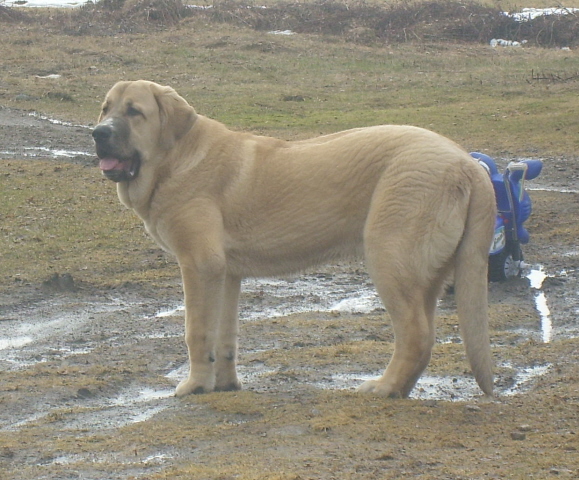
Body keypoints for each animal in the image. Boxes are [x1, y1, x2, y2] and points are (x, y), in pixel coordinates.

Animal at [93, 80, 496, 400]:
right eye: (105, 108)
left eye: (134, 112)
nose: (98, 133)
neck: (176, 158)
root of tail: (467, 163)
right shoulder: (226, 274)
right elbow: (225, 335)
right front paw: (224, 385)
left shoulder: (200, 265)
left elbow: (197, 331)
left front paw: (194, 386)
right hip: (424, 273)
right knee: (425, 335)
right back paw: (399, 388)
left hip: (390, 258)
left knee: (416, 335)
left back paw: (383, 388)